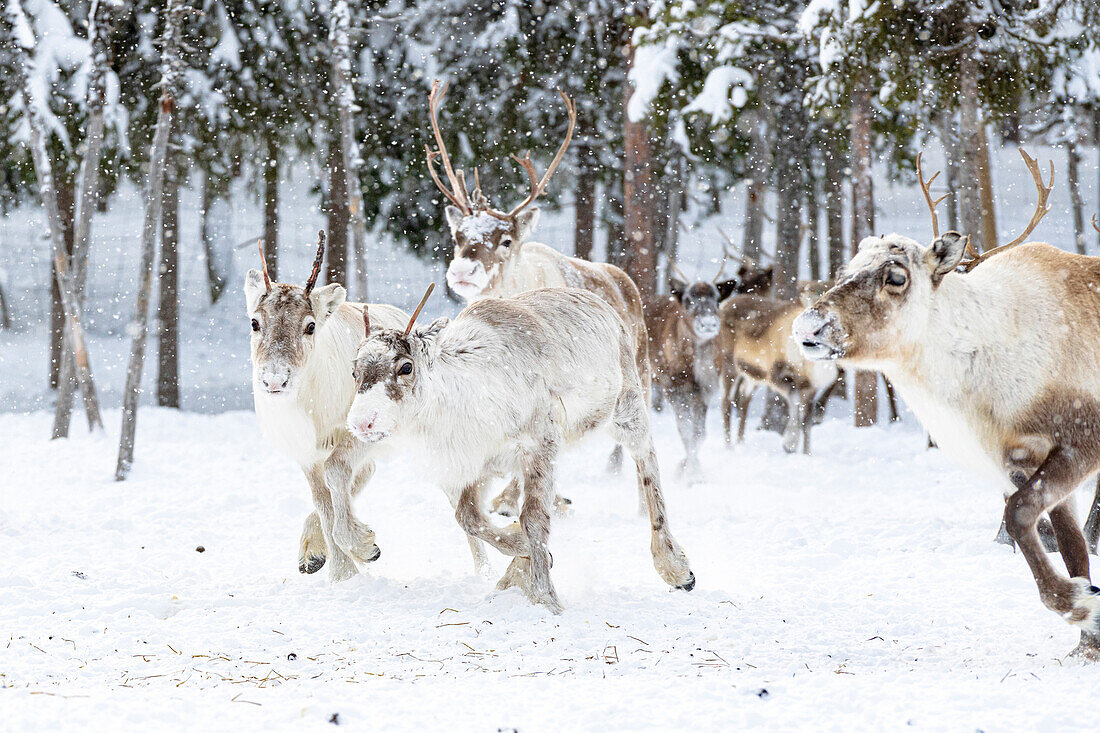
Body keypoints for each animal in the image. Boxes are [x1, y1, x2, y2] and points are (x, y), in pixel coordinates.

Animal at [347, 286, 690, 611]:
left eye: (406, 367)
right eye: (354, 371)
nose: (362, 423)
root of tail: (605, 305)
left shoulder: (540, 445)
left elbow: (534, 519)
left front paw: (546, 599)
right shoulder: (479, 464)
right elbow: (468, 517)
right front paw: (525, 552)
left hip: (626, 407)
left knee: (648, 461)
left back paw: (676, 567)